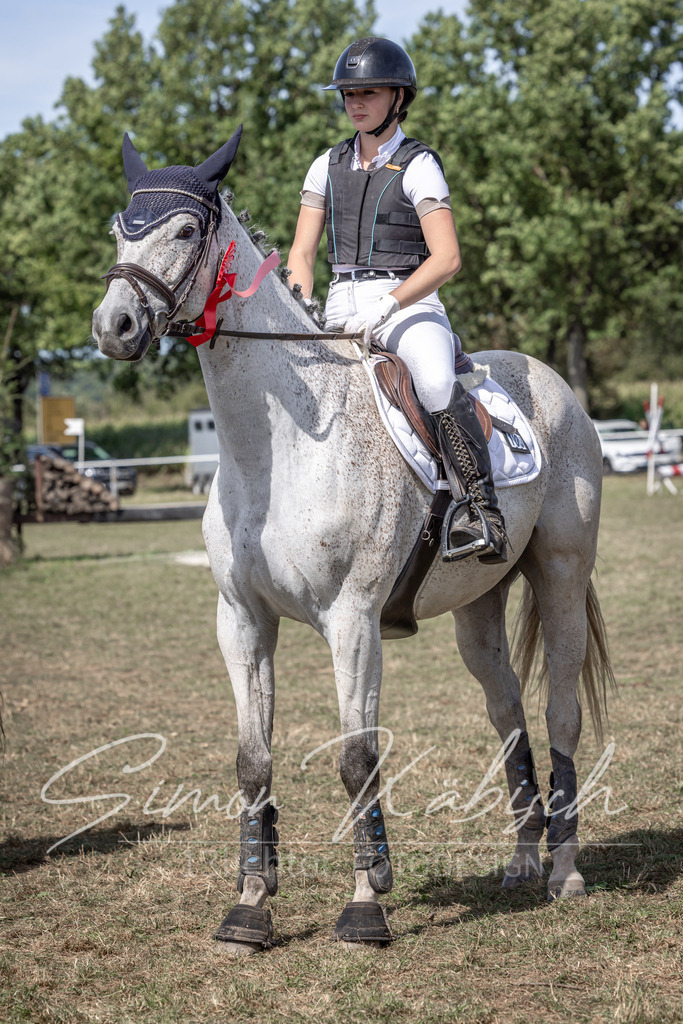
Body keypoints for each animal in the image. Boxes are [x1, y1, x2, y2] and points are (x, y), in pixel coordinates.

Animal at [92, 128, 613, 953]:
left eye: (183, 232)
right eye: (120, 229)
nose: (113, 327)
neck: (274, 451)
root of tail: (546, 377)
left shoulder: (352, 620)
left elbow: (356, 756)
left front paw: (366, 905)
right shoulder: (242, 621)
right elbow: (252, 761)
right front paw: (250, 906)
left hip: (559, 575)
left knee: (559, 712)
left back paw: (562, 872)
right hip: (478, 607)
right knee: (508, 715)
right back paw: (523, 862)